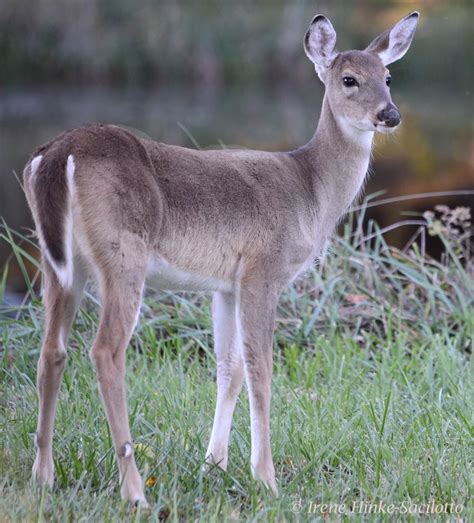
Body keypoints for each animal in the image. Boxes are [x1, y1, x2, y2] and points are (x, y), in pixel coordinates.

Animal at [24, 11, 418, 508]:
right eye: (349, 79)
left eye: (388, 77)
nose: (390, 114)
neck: (311, 190)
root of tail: (59, 154)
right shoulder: (262, 269)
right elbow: (260, 369)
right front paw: (265, 478)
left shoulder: (225, 284)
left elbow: (229, 369)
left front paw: (214, 466)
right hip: (123, 252)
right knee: (105, 351)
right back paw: (135, 492)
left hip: (59, 260)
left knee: (51, 351)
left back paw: (42, 477)